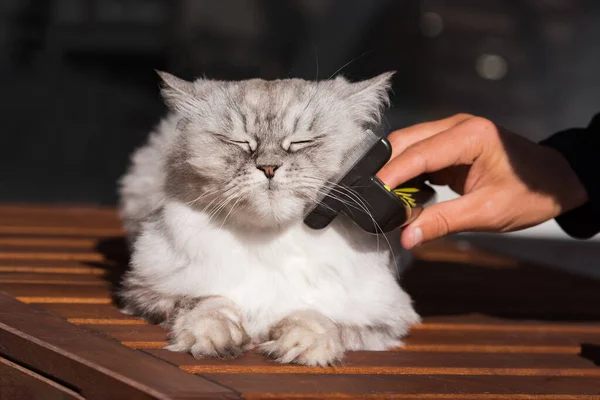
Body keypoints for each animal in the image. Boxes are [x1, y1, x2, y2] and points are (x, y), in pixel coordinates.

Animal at [116, 69, 418, 366]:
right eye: (239, 141)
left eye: (301, 142)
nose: (269, 168)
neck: (271, 245)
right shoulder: (148, 292)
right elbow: (210, 305)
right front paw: (217, 340)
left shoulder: (381, 318)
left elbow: (316, 317)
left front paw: (300, 347)